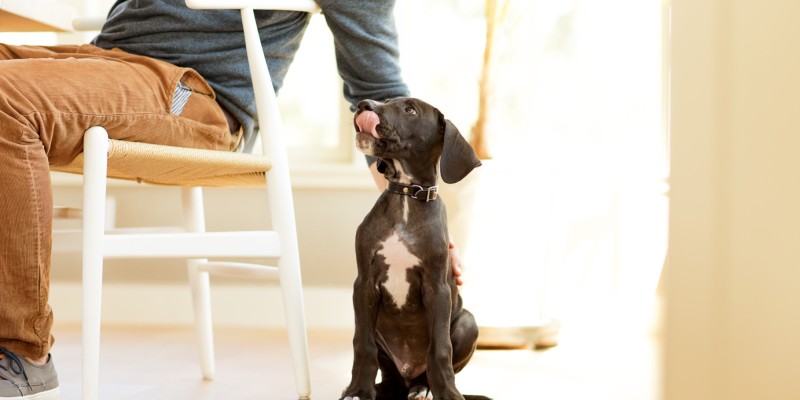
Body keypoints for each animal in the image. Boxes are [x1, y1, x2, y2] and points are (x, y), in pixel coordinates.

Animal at [340, 97, 484, 400]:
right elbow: (362, 345)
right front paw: (358, 390)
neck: (407, 196)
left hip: (468, 323)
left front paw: (448, 393)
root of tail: (408, 375)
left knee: (429, 365)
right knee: (389, 374)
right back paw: (382, 388)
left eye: (410, 110)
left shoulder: (437, 288)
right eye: (386, 101)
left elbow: (440, 349)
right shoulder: (364, 284)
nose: (363, 104)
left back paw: (423, 388)